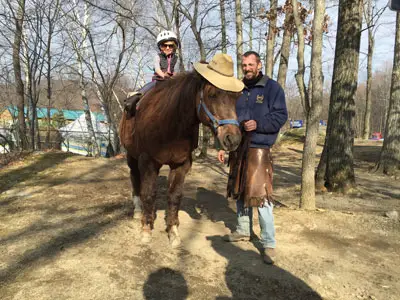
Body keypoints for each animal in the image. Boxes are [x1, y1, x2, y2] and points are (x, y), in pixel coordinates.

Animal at [119, 69, 242, 246]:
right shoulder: (148, 162)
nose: (233, 139)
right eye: (212, 95)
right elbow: (148, 194)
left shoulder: (181, 164)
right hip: (132, 156)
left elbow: (174, 196)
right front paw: (146, 230)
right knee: (135, 178)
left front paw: (173, 231)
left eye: (236, 98)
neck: (169, 122)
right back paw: (137, 209)